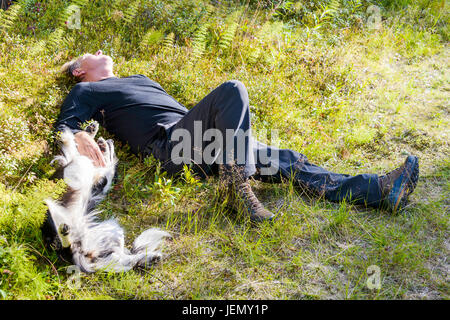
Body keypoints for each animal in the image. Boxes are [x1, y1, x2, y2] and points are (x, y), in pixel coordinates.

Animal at [41, 122, 171, 272]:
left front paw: (86, 133)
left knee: (122, 259)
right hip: (111, 233)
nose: (110, 140)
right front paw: (89, 133)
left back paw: (151, 258)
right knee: (122, 260)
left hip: (110, 233)